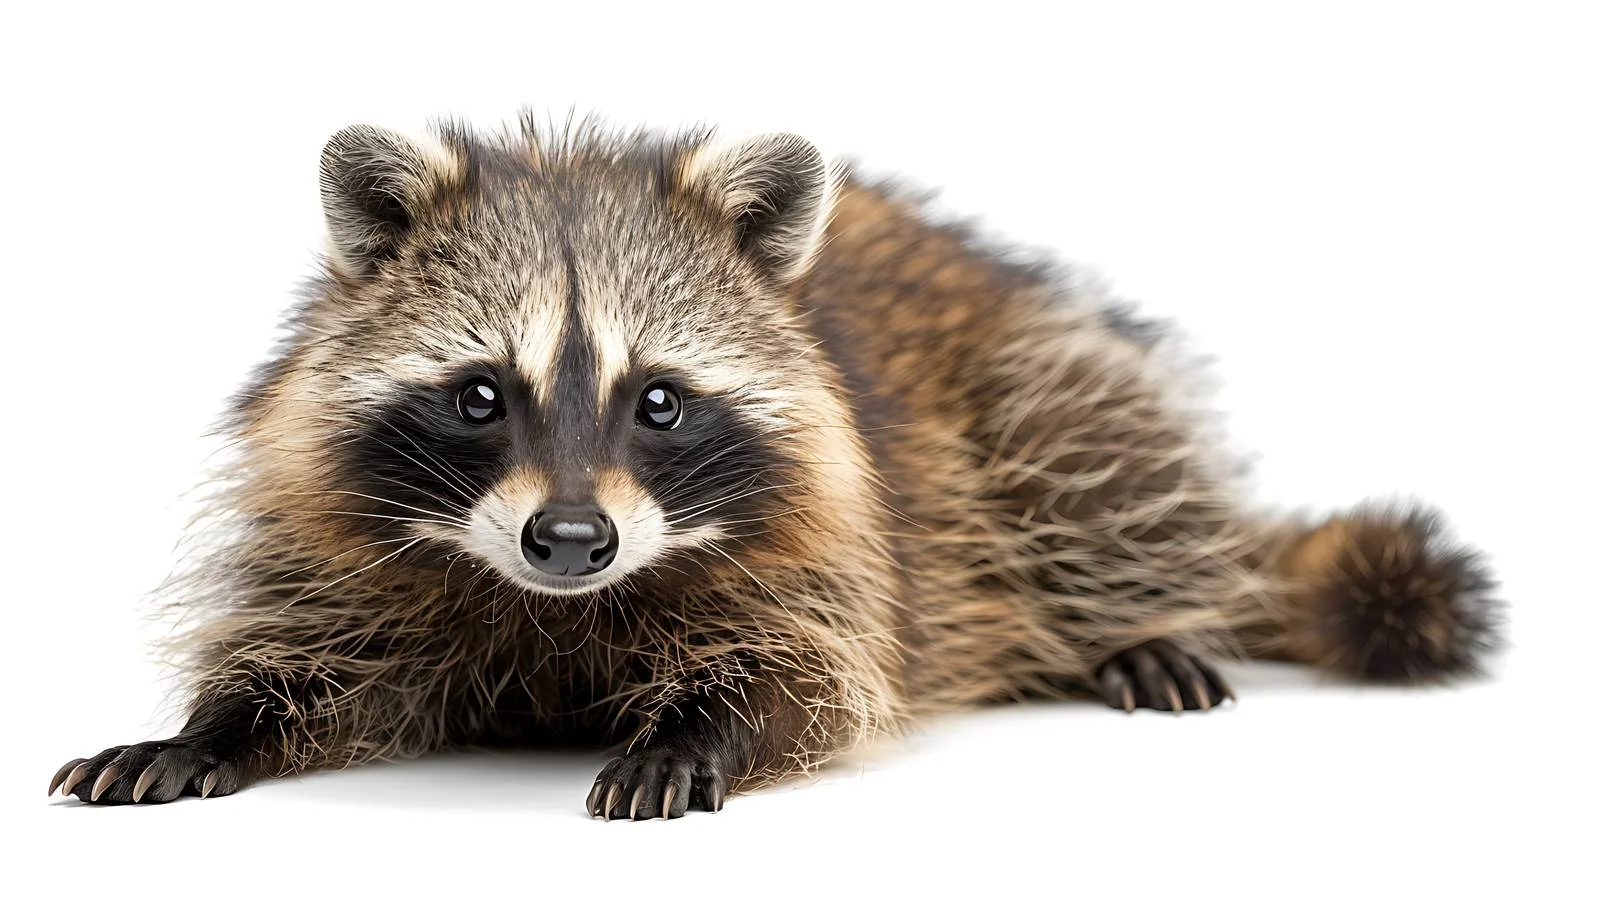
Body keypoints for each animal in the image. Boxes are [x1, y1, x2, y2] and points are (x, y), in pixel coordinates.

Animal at [48, 115, 1502, 818]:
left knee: (1096, 461)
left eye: (657, 401)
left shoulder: (839, 536)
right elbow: (319, 659)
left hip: (1036, 377)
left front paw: (708, 725)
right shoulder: (341, 531)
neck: (558, 608)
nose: (568, 542)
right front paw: (211, 723)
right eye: (479, 396)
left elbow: (818, 675)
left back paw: (1143, 613)